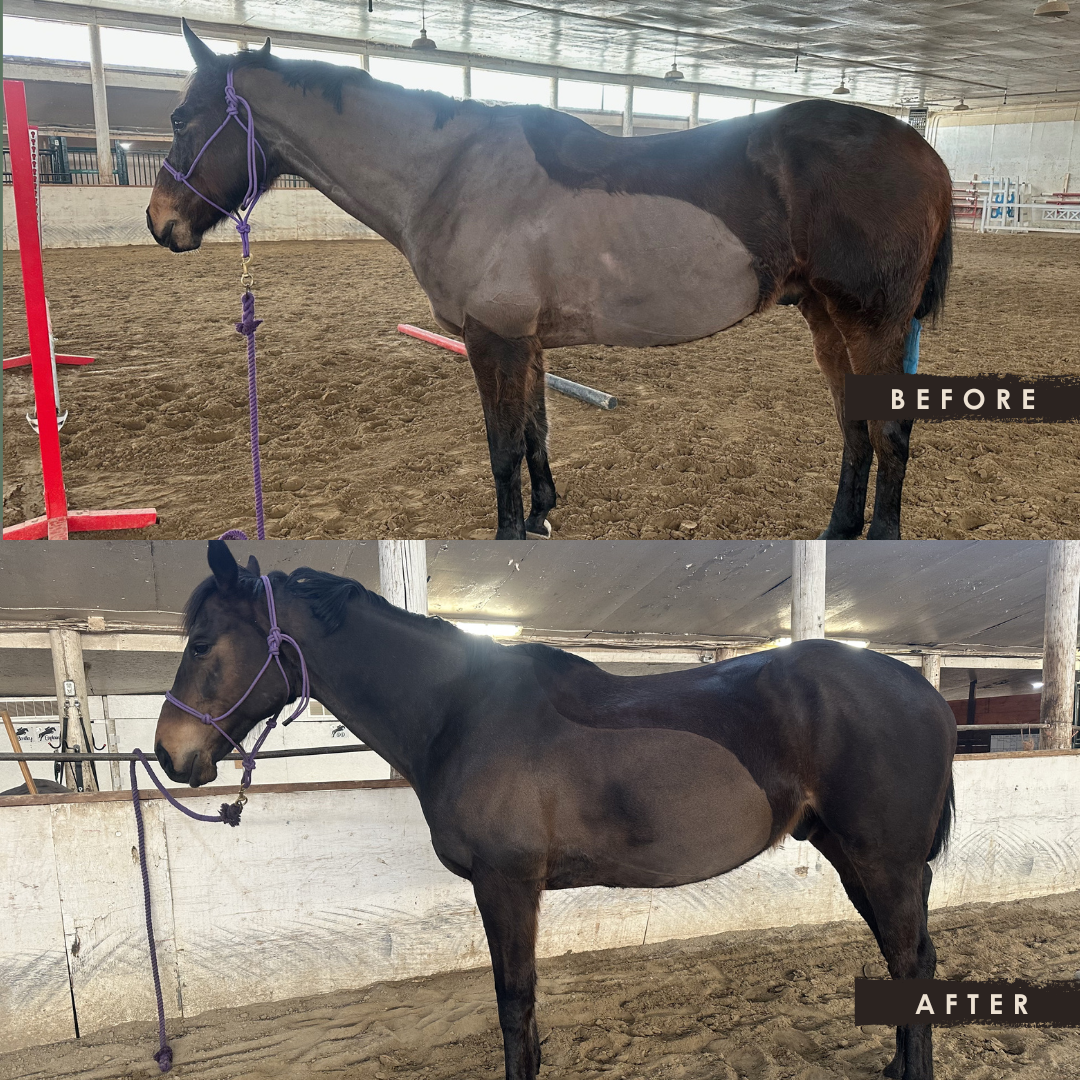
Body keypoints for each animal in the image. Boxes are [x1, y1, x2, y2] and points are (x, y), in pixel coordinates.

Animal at [147, 22, 952, 541]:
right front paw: (542, 514)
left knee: (889, 430)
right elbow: (536, 428)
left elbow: (503, 446)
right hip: (825, 319)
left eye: (182, 119)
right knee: (854, 424)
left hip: (871, 321)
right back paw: (837, 531)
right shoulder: (524, 342)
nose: (160, 223)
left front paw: (511, 531)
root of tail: (924, 153)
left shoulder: (492, 339)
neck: (450, 174)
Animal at [155, 539, 956, 1080]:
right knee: (908, 961)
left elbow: (514, 1003)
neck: (462, 710)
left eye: (201, 642)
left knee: (910, 960)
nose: (169, 754)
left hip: (882, 862)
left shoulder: (506, 885)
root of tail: (928, 694)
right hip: (859, 859)